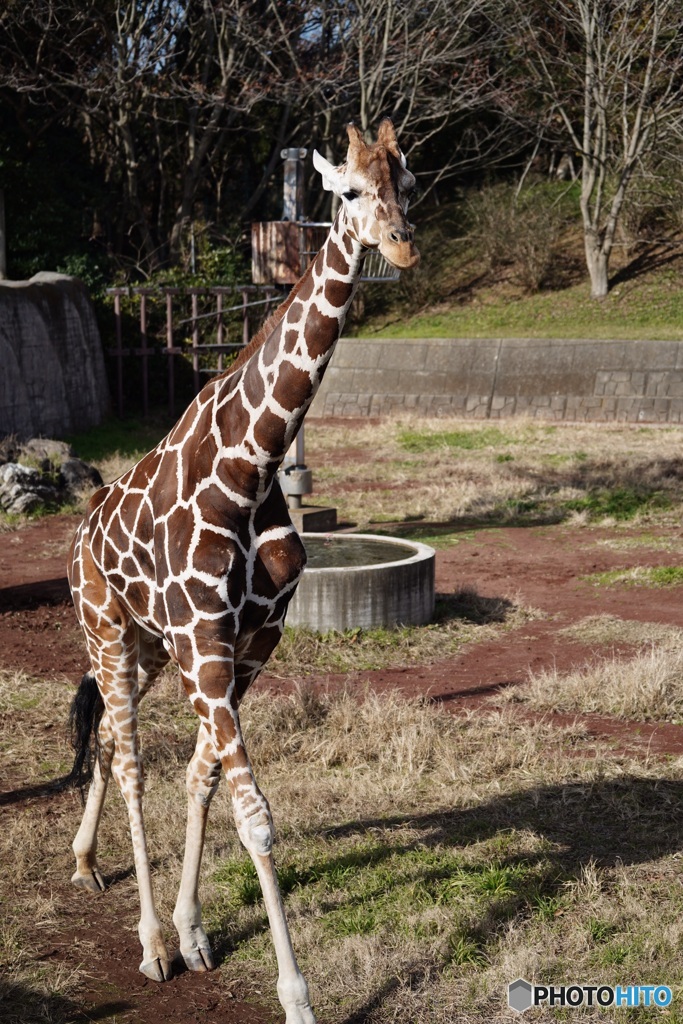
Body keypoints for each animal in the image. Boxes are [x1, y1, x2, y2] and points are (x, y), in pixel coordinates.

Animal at [65, 121, 417, 1024]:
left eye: (408, 182)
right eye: (349, 192)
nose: (402, 245)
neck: (251, 466)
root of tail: (80, 532)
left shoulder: (250, 638)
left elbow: (205, 779)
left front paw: (196, 932)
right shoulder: (206, 640)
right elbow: (253, 813)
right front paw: (294, 998)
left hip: (151, 648)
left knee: (111, 736)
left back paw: (88, 865)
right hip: (109, 630)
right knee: (128, 758)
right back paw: (146, 943)